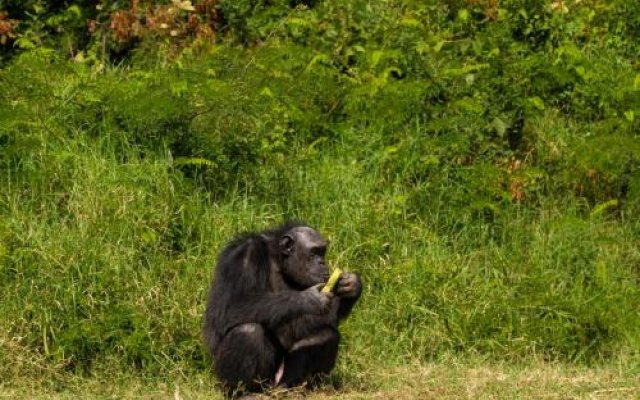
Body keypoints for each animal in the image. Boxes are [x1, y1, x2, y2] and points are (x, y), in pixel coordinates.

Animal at [205, 222, 362, 394]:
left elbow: (319, 321)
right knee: (248, 331)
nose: (322, 262)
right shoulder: (244, 257)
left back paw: (289, 388)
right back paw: (244, 392)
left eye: (323, 252)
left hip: (281, 378)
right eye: (314, 252)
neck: (279, 261)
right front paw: (309, 299)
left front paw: (352, 286)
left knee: (327, 334)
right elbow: (229, 308)